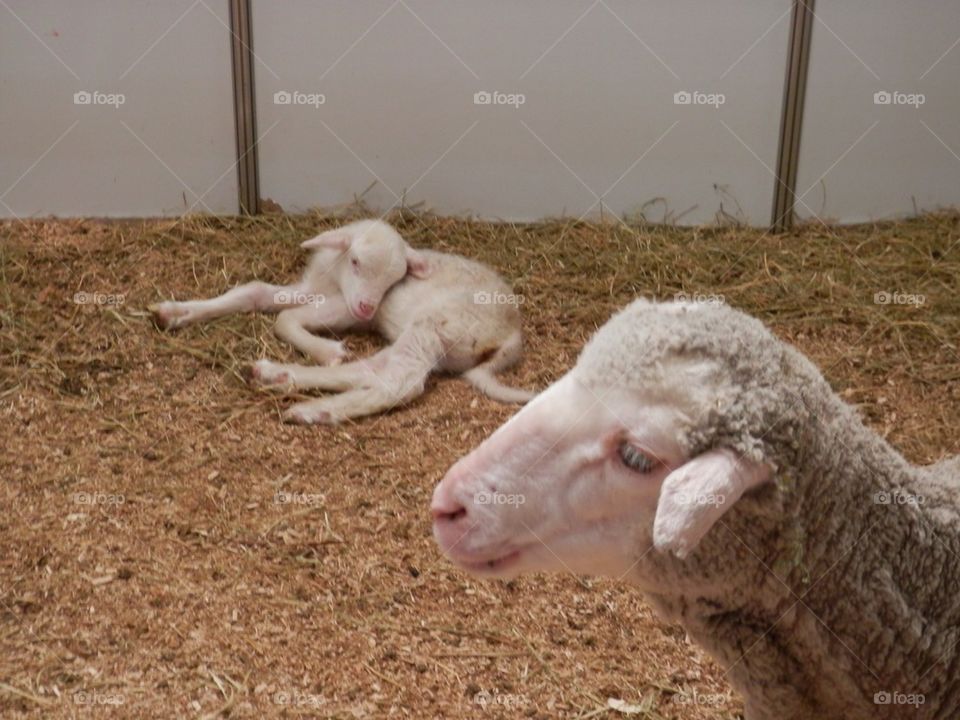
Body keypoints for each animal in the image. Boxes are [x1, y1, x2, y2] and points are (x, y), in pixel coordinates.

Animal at [150, 219, 429, 365]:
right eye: (355, 262)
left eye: (394, 281)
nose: (367, 308)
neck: (331, 283)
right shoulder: (312, 289)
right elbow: (254, 291)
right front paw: (174, 312)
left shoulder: (346, 307)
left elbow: (285, 318)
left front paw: (328, 352)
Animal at [249, 247, 533, 424]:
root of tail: (513, 335)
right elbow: (278, 307)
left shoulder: (353, 304)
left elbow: (286, 317)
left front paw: (326, 351)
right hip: (435, 343)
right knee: (372, 369)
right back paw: (274, 375)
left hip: (433, 325)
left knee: (401, 382)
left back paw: (311, 410)